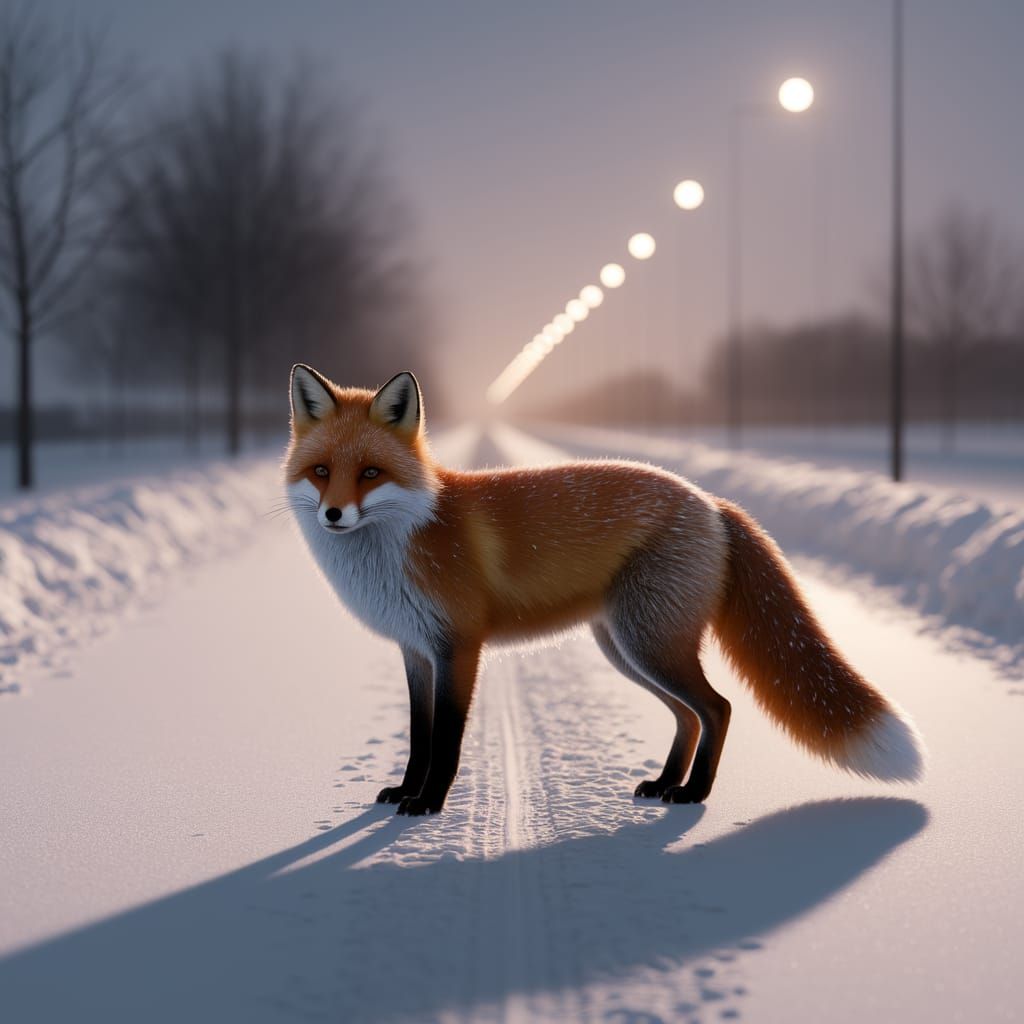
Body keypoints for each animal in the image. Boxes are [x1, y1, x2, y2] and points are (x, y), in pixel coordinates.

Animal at [285, 364, 925, 816]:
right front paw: (405, 793)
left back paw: (694, 794)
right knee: (690, 717)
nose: (333, 515)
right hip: (627, 648)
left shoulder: (458, 647)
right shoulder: (416, 650)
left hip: (649, 644)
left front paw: (429, 805)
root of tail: (711, 502)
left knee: (718, 707)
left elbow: (445, 742)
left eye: (371, 473)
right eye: (322, 472)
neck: (405, 541)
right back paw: (666, 783)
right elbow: (419, 738)